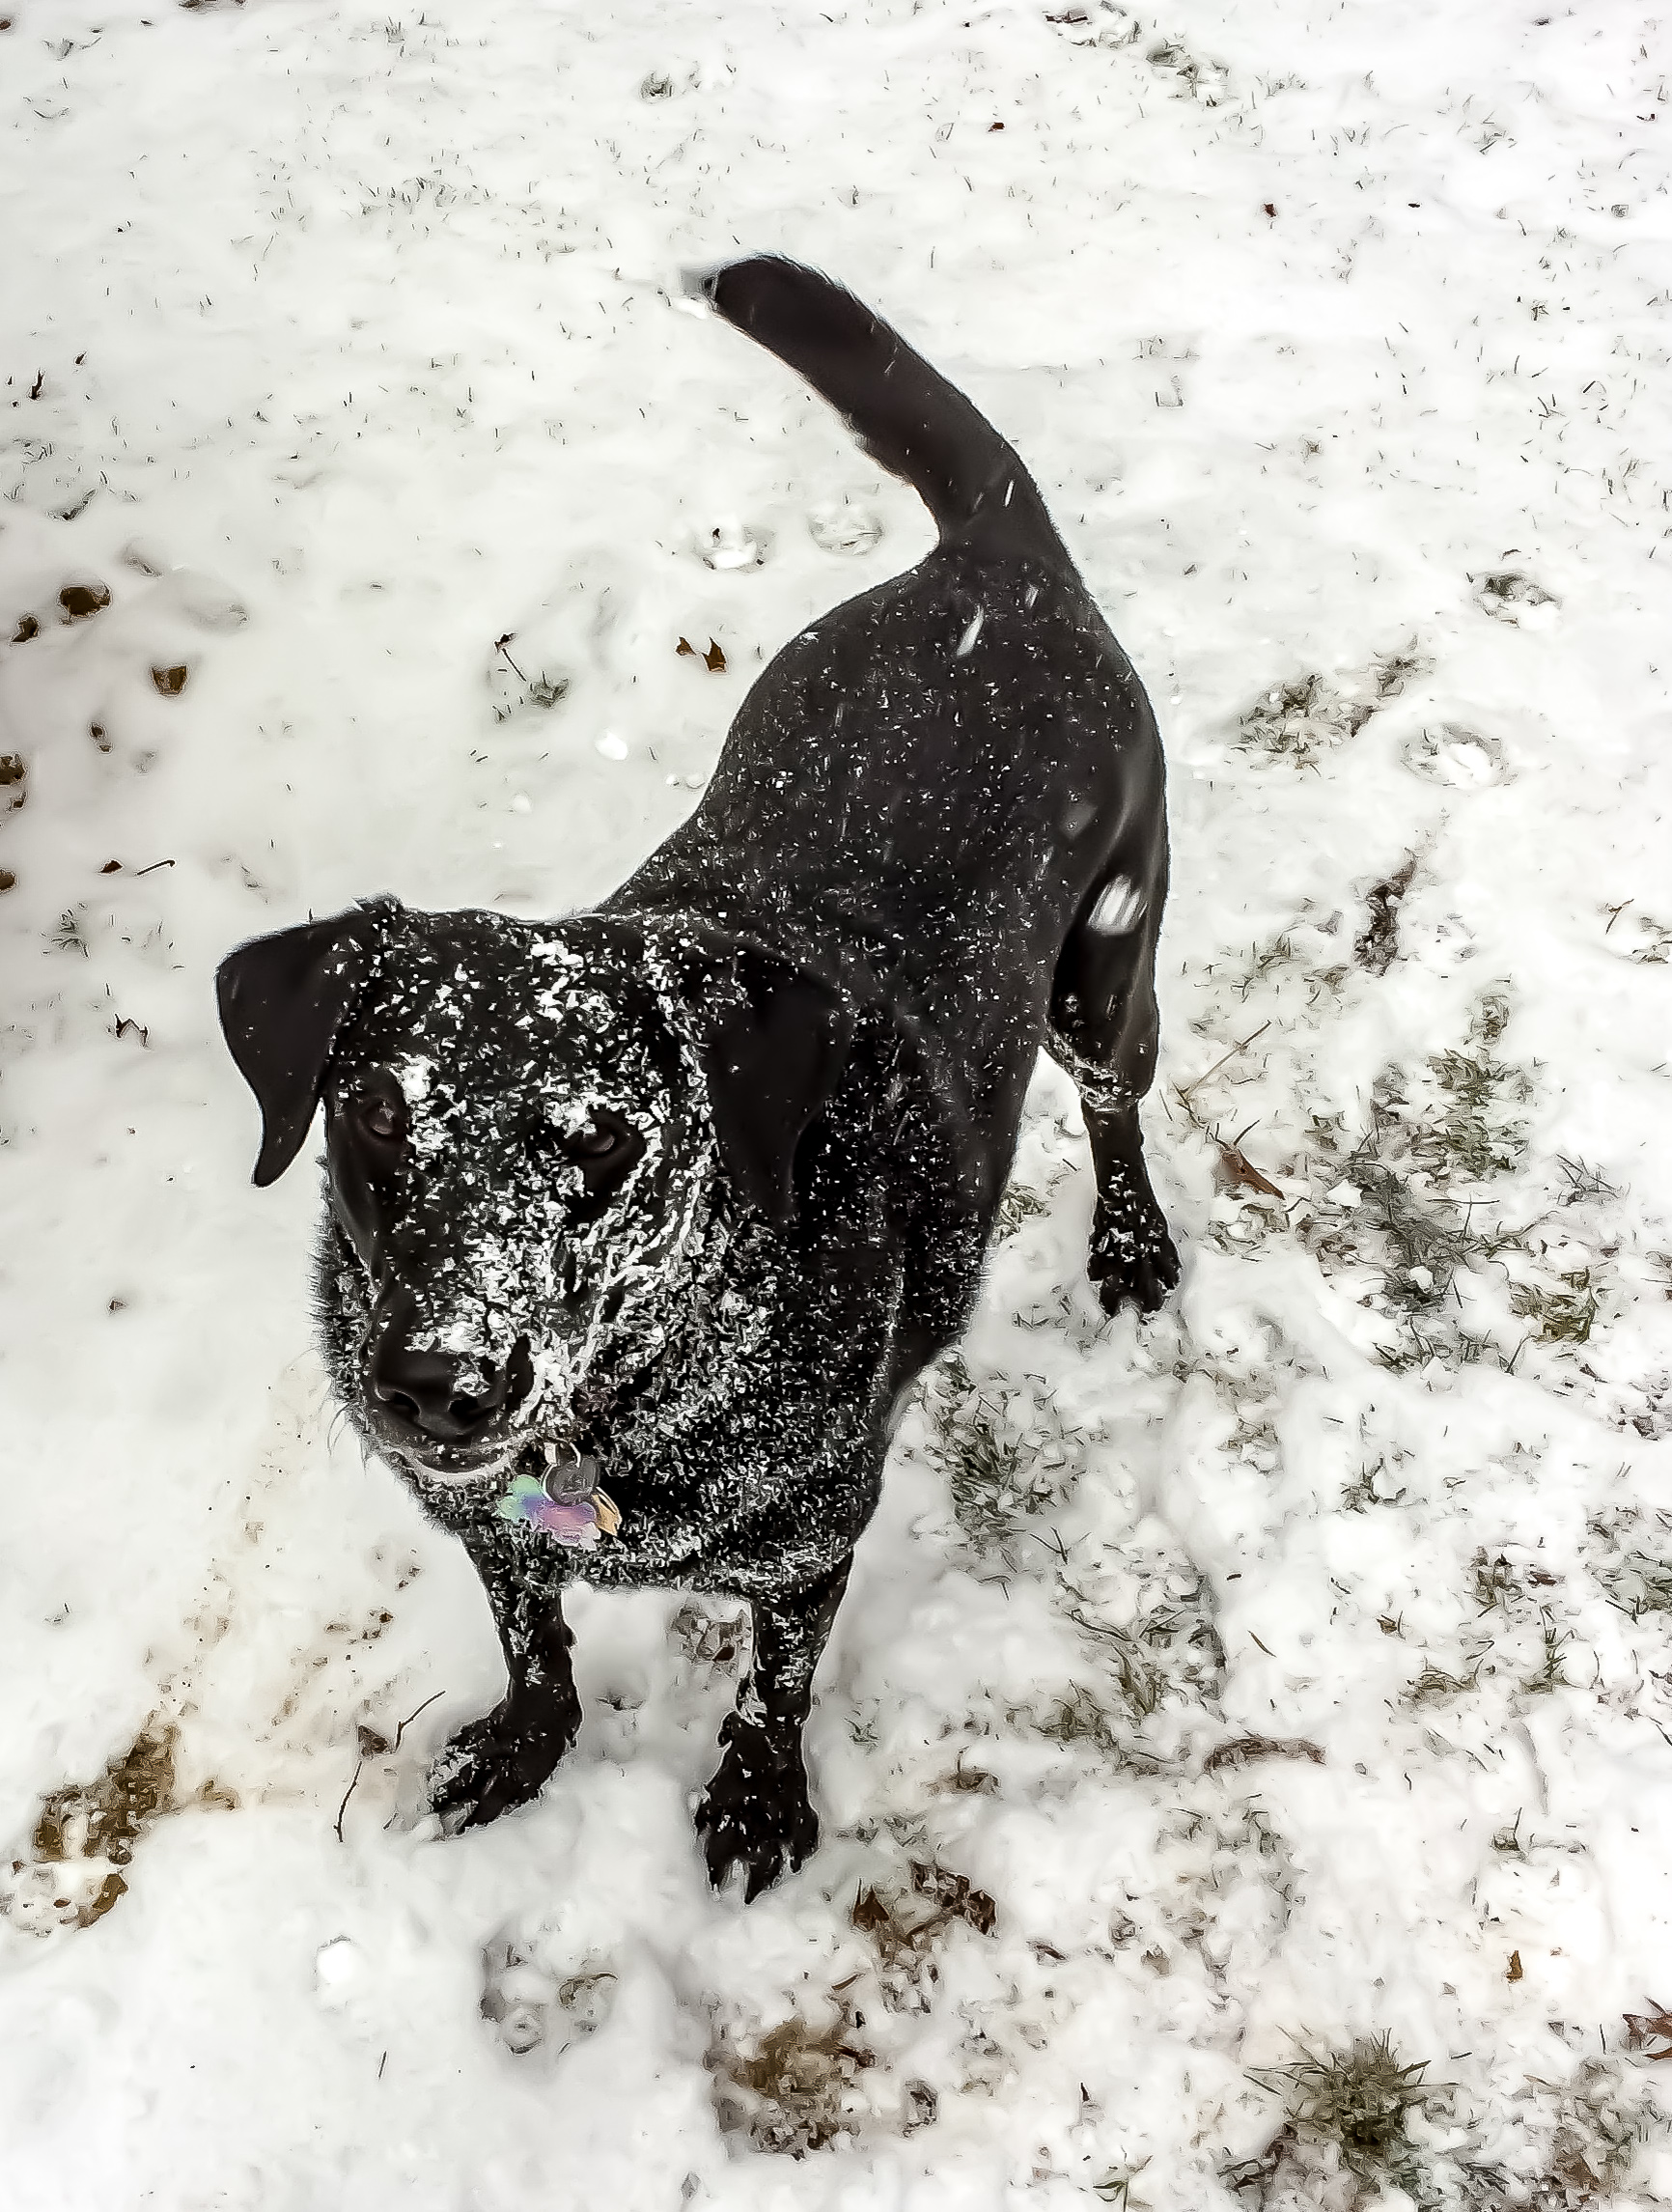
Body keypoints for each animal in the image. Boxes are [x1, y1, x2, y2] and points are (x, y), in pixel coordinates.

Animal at [218, 254, 1176, 1884]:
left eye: (602, 1141)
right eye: (375, 1114)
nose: (436, 1385)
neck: (632, 1394)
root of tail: (995, 563)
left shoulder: (811, 1539)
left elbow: (776, 1677)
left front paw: (756, 1795)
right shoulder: (492, 1526)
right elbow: (533, 1639)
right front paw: (524, 1743)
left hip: (1105, 971)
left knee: (1118, 1103)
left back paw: (1132, 1241)